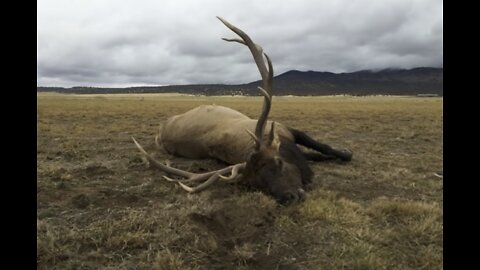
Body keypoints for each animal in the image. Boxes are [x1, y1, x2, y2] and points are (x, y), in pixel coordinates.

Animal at [132, 16, 352, 205]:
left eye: (278, 162)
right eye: (257, 184)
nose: (289, 197)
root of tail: (161, 128)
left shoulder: (288, 129)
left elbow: (323, 147)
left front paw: (344, 153)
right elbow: (317, 153)